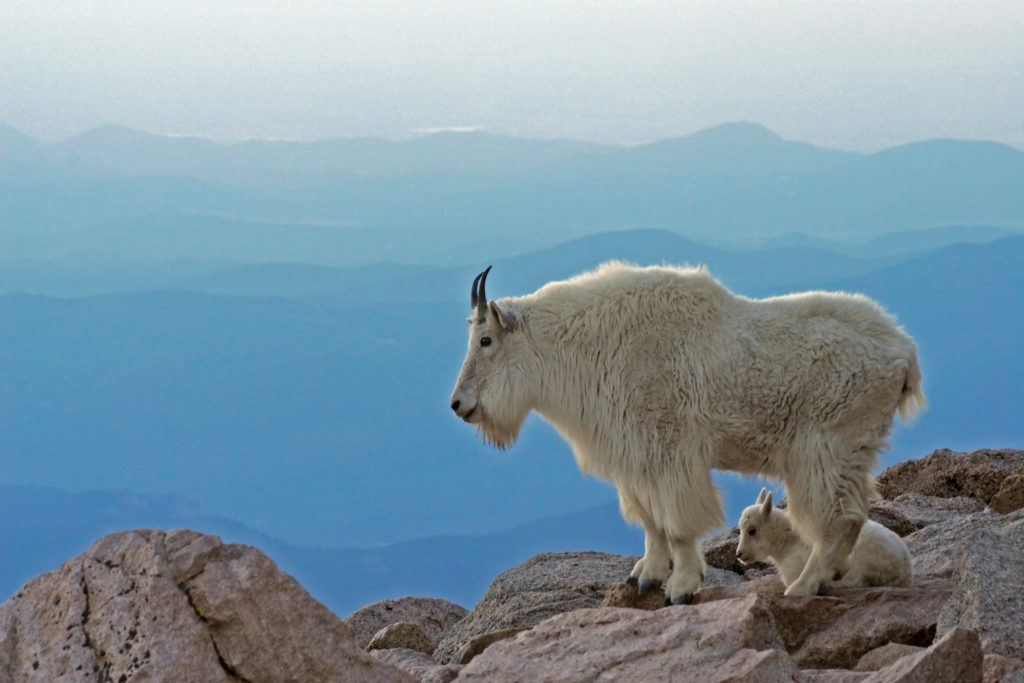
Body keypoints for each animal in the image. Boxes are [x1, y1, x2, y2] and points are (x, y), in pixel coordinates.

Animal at [452, 264, 925, 602]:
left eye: (487, 340)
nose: (458, 405)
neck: (592, 345)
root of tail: (905, 357)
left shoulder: (669, 449)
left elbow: (677, 523)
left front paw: (680, 587)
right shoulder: (636, 456)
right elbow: (649, 519)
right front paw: (645, 576)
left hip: (827, 446)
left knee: (839, 518)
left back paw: (805, 585)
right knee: (853, 515)